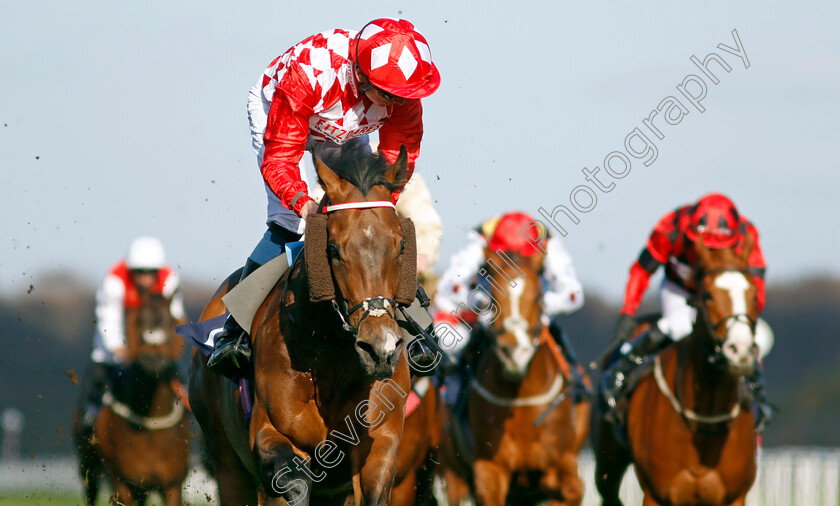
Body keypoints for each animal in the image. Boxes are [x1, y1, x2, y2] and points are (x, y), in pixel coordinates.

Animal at [75, 290, 190, 504]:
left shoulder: (172, 484)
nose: (153, 360)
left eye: (170, 320)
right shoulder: (122, 483)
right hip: (89, 466)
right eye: (139, 320)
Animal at [188, 144, 416, 504]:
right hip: (226, 461)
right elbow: (293, 482)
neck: (333, 352)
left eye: (402, 245)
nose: (381, 348)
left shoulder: (380, 444)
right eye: (333, 249)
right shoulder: (274, 433)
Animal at [440, 250, 592, 506]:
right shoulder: (490, 468)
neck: (520, 399)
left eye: (539, 297)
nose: (514, 352)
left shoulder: (563, 462)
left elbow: (570, 487)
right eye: (491, 298)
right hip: (453, 473)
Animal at [592, 235, 764, 504]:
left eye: (754, 295)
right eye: (708, 295)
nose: (741, 350)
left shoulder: (735, 496)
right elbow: (647, 263)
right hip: (607, 464)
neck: (705, 420)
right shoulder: (656, 494)